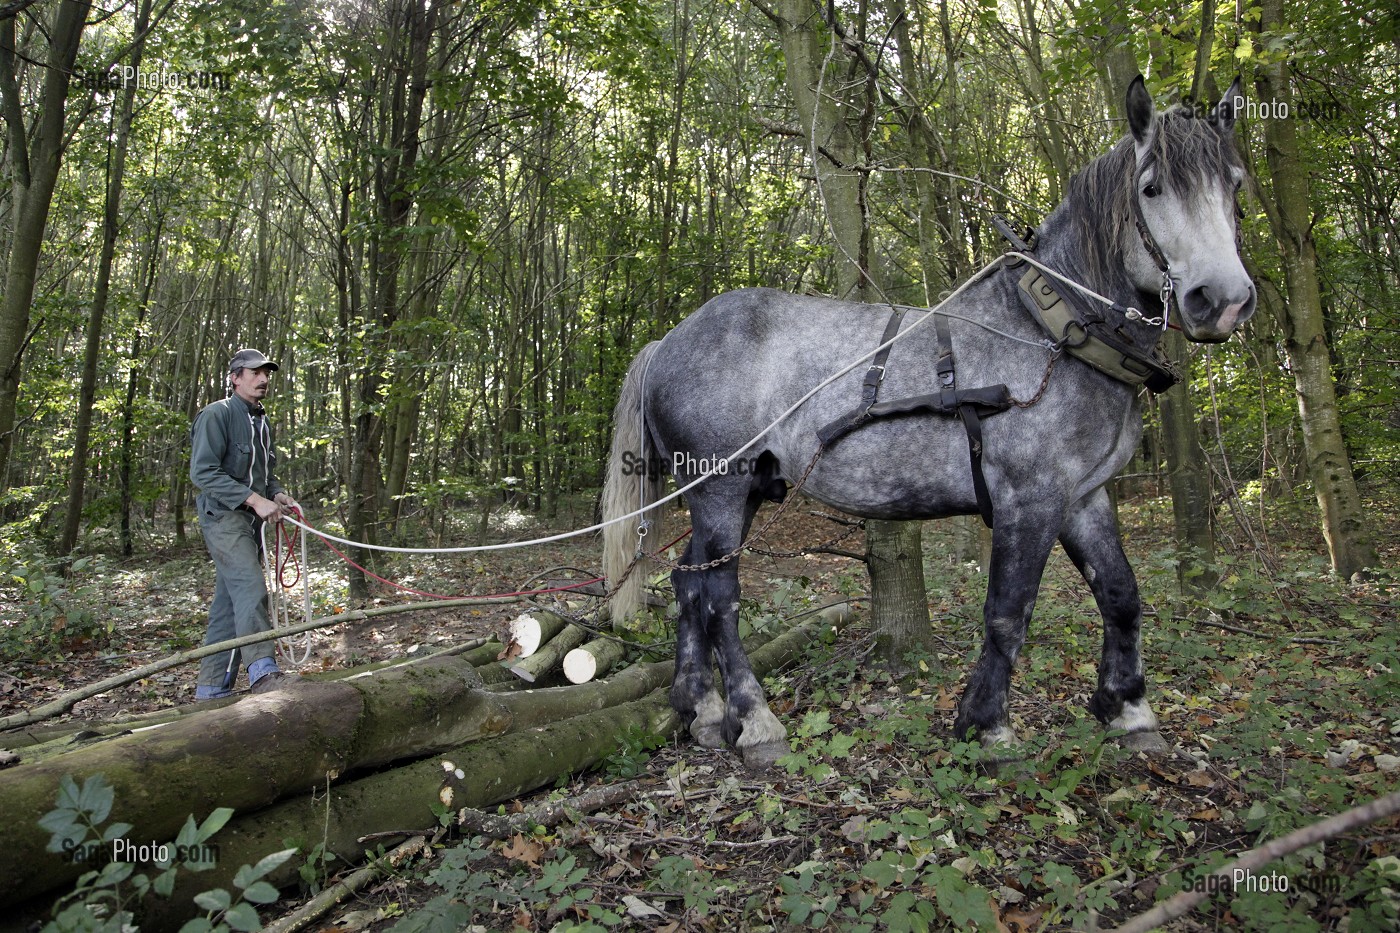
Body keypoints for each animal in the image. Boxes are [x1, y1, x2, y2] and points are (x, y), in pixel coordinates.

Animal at [600, 77, 1256, 769]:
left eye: (1235, 186)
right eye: (1152, 187)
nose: (1223, 300)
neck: (1054, 330)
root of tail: (669, 341)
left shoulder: (1083, 495)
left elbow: (1122, 595)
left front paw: (1129, 710)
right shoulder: (1030, 497)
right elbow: (1009, 612)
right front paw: (987, 726)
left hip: (735, 494)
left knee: (686, 584)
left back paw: (700, 709)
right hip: (721, 490)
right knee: (720, 600)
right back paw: (755, 722)